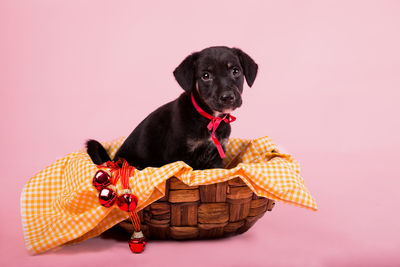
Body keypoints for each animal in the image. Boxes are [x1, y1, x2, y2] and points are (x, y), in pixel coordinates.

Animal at [86, 46, 258, 171]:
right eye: (206, 76)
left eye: (235, 71)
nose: (228, 97)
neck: (209, 118)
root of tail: (113, 161)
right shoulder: (178, 157)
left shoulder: (216, 157)